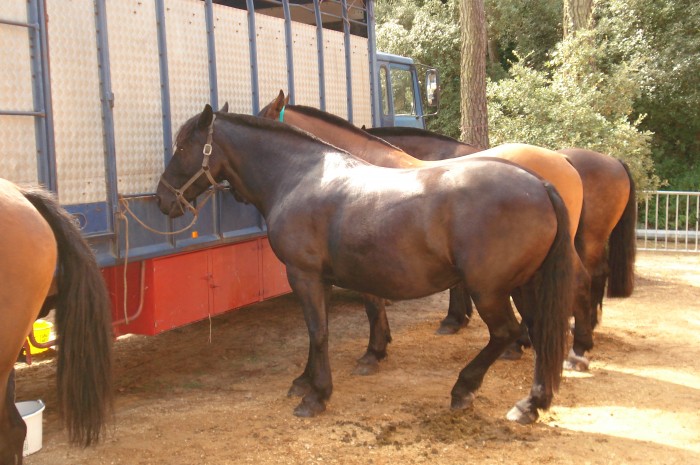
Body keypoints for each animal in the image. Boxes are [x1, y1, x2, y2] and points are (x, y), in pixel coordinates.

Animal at [157, 105, 576, 424]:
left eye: (183, 146)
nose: (163, 199)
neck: (300, 177)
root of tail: (540, 184)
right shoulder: (321, 279)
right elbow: (319, 330)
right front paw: (305, 381)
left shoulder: (304, 275)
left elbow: (319, 332)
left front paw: (316, 396)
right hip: (526, 284)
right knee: (538, 330)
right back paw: (530, 404)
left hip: (488, 289)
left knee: (506, 332)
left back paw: (464, 389)